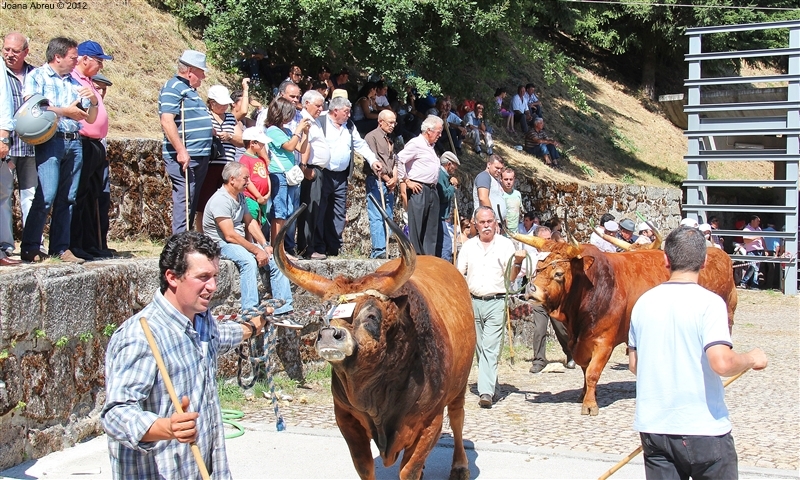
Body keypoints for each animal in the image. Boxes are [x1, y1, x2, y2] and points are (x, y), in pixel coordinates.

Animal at [276, 206, 476, 480]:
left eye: (371, 315)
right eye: (324, 313)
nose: (329, 335)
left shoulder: (430, 420)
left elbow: (409, 470)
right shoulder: (345, 417)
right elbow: (364, 466)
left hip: (460, 386)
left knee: (458, 419)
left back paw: (460, 466)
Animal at [510, 234, 736, 414]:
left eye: (558, 273)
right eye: (537, 268)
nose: (531, 290)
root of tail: (719, 255)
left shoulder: (604, 342)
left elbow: (592, 372)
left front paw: (590, 405)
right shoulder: (580, 342)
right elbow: (585, 369)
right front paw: (583, 394)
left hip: (725, 319)